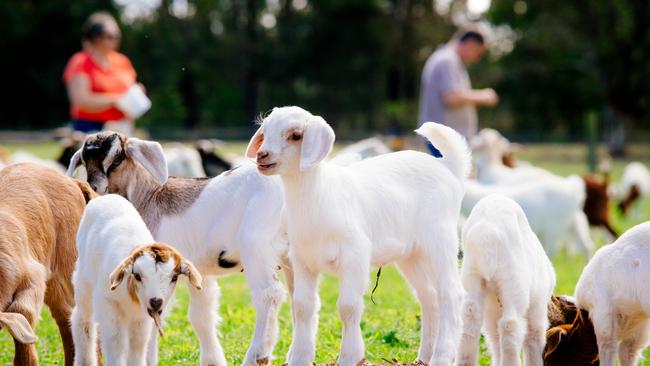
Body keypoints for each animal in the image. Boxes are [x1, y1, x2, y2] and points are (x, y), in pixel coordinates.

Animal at [67, 132, 288, 366]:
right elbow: (202, 316)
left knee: (269, 293)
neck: (149, 198)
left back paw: (258, 355)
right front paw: (213, 361)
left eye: (117, 159)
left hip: (256, 244)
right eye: (84, 161)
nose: (95, 188)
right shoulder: (199, 272)